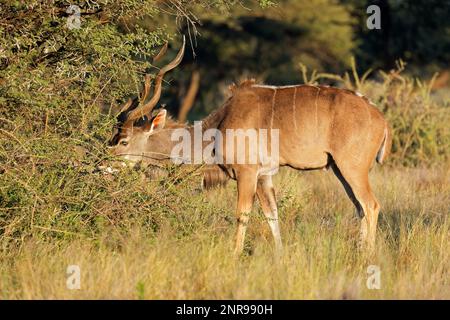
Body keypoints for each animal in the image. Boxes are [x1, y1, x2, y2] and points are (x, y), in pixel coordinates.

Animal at [108, 38, 390, 255]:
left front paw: (234, 255)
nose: (103, 167)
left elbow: (242, 214)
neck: (219, 125)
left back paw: (366, 258)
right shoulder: (264, 176)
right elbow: (272, 215)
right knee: (360, 208)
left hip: (351, 168)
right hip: (340, 170)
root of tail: (381, 118)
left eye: (123, 141)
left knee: (371, 205)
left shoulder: (247, 173)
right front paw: (280, 257)